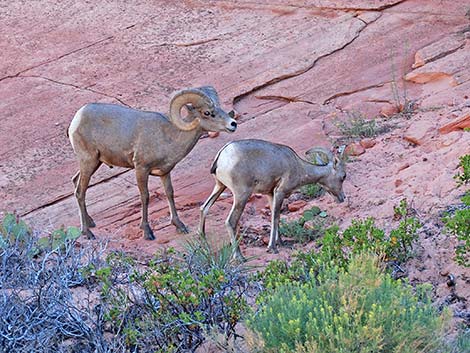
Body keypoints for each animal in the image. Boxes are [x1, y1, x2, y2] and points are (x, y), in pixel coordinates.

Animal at [68, 86, 237, 239]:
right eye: (207, 113)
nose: (233, 124)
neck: (169, 137)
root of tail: (77, 118)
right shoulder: (141, 169)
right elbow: (145, 196)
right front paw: (147, 231)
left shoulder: (165, 172)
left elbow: (169, 193)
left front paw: (179, 225)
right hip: (89, 161)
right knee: (80, 192)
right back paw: (87, 233)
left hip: (95, 163)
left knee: (76, 182)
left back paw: (90, 223)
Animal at [198, 138, 346, 258]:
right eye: (343, 176)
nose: (342, 198)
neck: (299, 167)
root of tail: (221, 157)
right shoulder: (280, 192)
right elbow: (275, 217)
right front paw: (272, 248)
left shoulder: (270, 194)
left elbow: (277, 216)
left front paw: (281, 243)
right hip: (241, 195)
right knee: (230, 221)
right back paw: (239, 257)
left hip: (219, 186)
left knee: (204, 208)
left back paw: (205, 248)